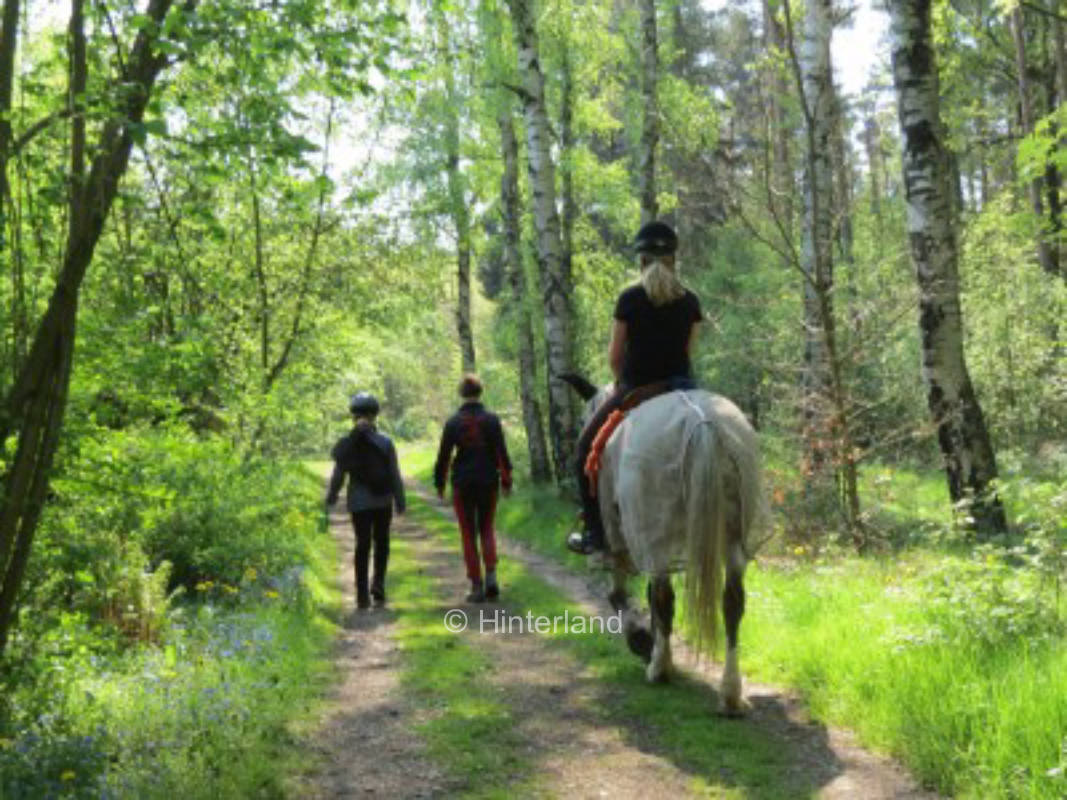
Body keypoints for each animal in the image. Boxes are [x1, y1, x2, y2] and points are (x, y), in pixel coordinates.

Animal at [563, 377, 772, 721]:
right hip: (731, 539)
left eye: (583, 419)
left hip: (653, 535)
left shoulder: (621, 539)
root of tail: (701, 422)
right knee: (732, 603)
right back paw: (730, 694)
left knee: (663, 599)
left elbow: (620, 595)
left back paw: (659, 669)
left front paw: (642, 642)